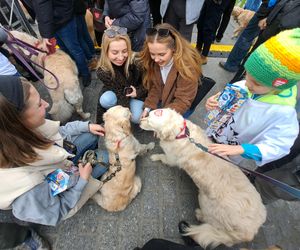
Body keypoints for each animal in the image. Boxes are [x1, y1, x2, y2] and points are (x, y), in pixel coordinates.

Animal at [139, 109, 266, 248]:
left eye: (149, 121)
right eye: (149, 114)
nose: (139, 121)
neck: (181, 134)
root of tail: (250, 232)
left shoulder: (171, 158)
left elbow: (163, 157)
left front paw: (155, 157)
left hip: (207, 204)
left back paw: (199, 215)